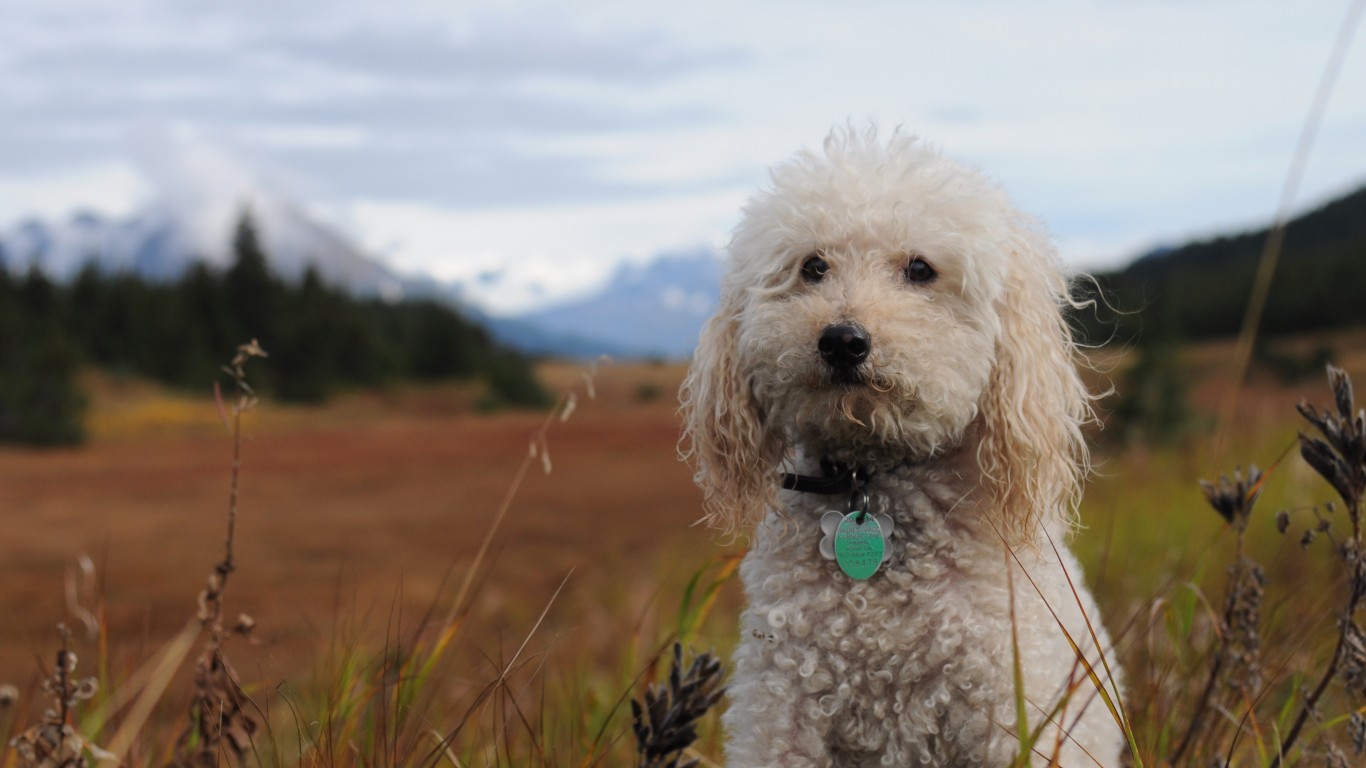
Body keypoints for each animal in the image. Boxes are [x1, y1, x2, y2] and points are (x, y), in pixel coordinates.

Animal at [677, 128, 1125, 759]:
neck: (872, 482)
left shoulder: (1009, 716)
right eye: (813, 266)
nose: (842, 340)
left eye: (920, 268)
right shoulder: (781, 712)